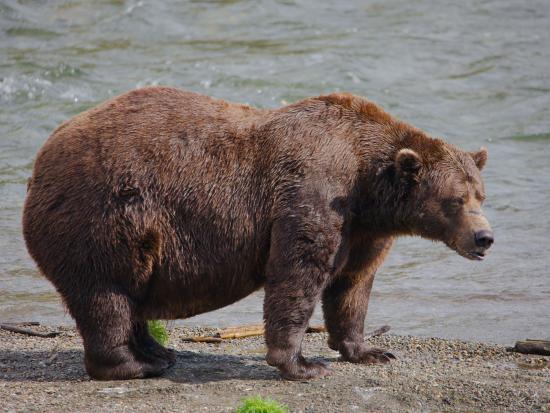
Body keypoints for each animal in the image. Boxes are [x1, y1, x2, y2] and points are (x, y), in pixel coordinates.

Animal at [22, 87, 496, 380]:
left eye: (481, 195)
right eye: (456, 200)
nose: (484, 238)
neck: (367, 185)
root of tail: (40, 160)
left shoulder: (363, 230)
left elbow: (352, 285)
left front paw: (369, 351)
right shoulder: (313, 193)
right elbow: (298, 273)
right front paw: (302, 364)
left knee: (130, 294)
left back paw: (159, 352)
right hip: (105, 215)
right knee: (107, 293)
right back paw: (134, 365)